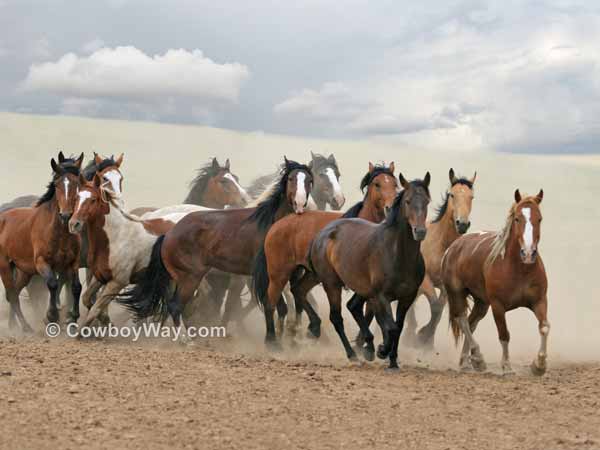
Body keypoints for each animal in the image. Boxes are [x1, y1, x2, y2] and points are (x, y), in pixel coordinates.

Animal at [0, 151, 84, 330]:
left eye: (77, 184)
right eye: (57, 185)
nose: (66, 215)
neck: (58, 234)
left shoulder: (72, 263)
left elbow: (76, 287)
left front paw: (72, 318)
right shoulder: (42, 262)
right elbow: (53, 284)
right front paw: (51, 316)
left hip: (24, 271)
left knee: (15, 293)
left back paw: (17, 326)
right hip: (5, 266)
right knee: (12, 295)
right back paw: (25, 328)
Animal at [253, 162, 398, 344]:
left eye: (395, 184)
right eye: (377, 184)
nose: (390, 207)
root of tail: (277, 224)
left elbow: (371, 313)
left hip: (308, 273)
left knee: (298, 291)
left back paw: (310, 328)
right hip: (278, 274)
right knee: (271, 302)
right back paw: (273, 341)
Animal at [310, 174, 432, 368]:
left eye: (427, 201)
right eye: (408, 201)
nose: (419, 231)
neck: (398, 254)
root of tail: (322, 234)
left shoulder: (407, 297)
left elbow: (398, 327)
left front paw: (392, 361)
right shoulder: (382, 296)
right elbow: (391, 327)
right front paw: (383, 350)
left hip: (363, 288)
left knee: (353, 306)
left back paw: (367, 346)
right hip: (332, 284)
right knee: (336, 317)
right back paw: (353, 354)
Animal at [440, 189, 548, 376]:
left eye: (539, 218)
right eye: (517, 218)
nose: (528, 253)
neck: (520, 269)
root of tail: (453, 247)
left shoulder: (539, 301)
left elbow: (544, 327)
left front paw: (539, 365)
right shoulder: (498, 306)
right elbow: (504, 335)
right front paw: (507, 367)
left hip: (482, 302)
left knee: (471, 323)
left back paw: (466, 362)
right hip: (457, 293)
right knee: (463, 321)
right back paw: (478, 359)